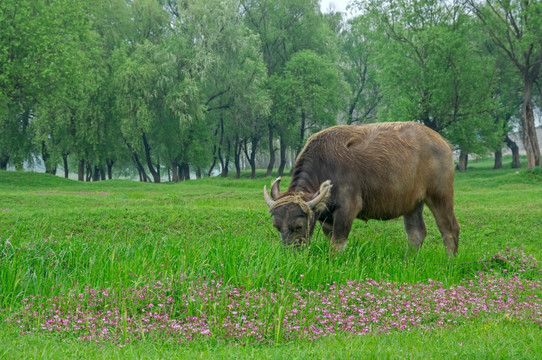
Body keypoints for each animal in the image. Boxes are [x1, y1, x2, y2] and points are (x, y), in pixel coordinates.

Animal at [266, 123, 462, 256]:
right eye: (276, 226)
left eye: (298, 226)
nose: (290, 253)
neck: (325, 166)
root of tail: (443, 143)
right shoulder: (326, 218)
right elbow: (329, 239)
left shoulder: (347, 209)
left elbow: (337, 244)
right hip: (413, 203)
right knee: (416, 233)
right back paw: (409, 261)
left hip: (440, 195)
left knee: (449, 229)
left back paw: (450, 261)